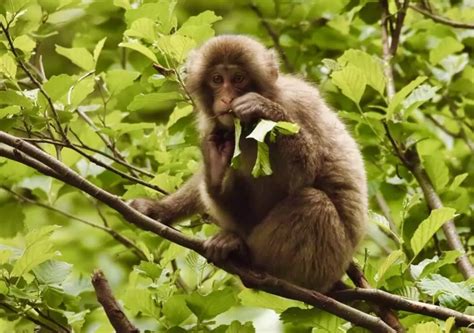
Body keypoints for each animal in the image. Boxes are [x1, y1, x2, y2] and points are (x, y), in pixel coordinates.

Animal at [131, 35, 368, 292]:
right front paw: (160, 209)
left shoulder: (298, 103)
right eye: (217, 79)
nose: (226, 98)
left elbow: (306, 170)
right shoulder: (214, 125)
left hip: (325, 264)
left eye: (238, 78)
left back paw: (247, 256)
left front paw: (265, 109)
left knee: (313, 202)